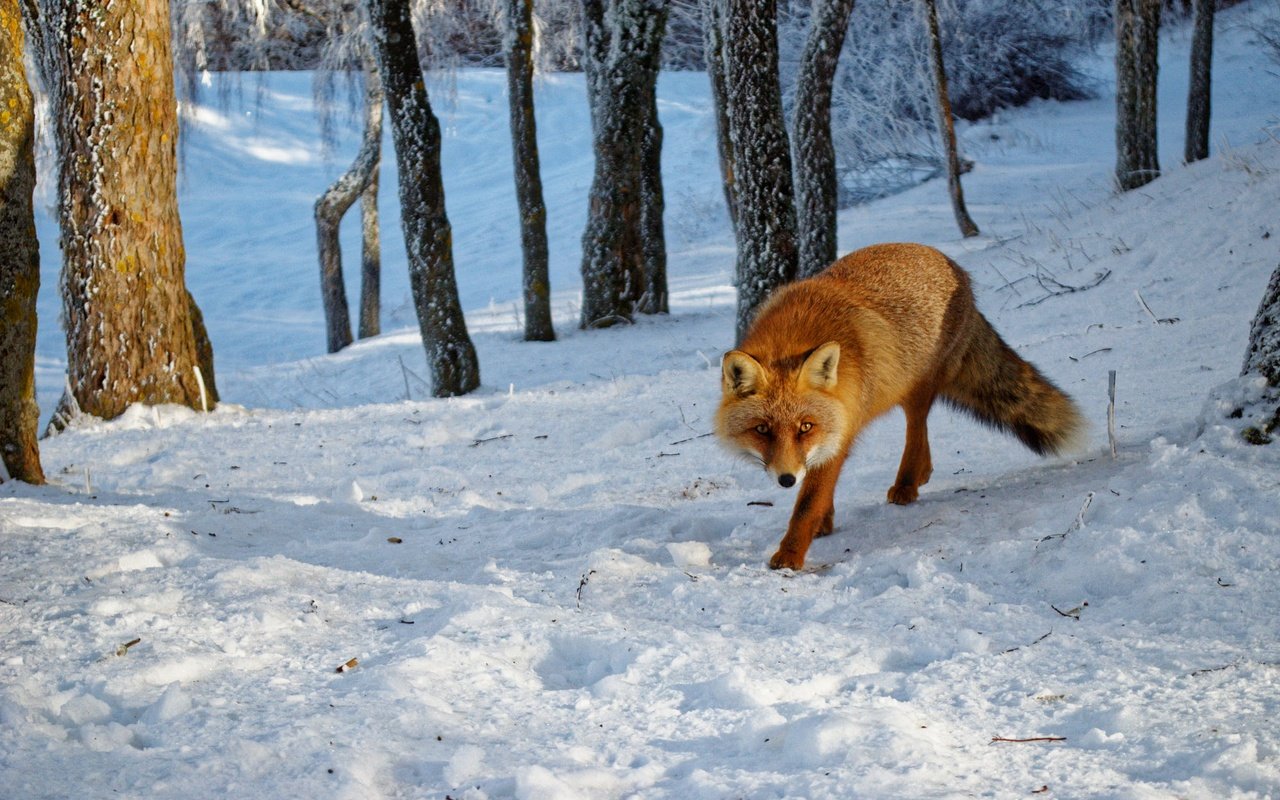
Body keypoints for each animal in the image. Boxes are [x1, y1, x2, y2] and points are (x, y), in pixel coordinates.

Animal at [716, 241, 1085, 568]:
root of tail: (953, 265)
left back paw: (908, 483)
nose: (786, 480)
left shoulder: (841, 429)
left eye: (805, 426)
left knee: (916, 430)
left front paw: (790, 555)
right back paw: (921, 475)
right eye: (762, 429)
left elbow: (808, 503)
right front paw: (823, 521)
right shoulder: (837, 427)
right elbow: (821, 488)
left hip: (916, 388)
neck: (792, 336)